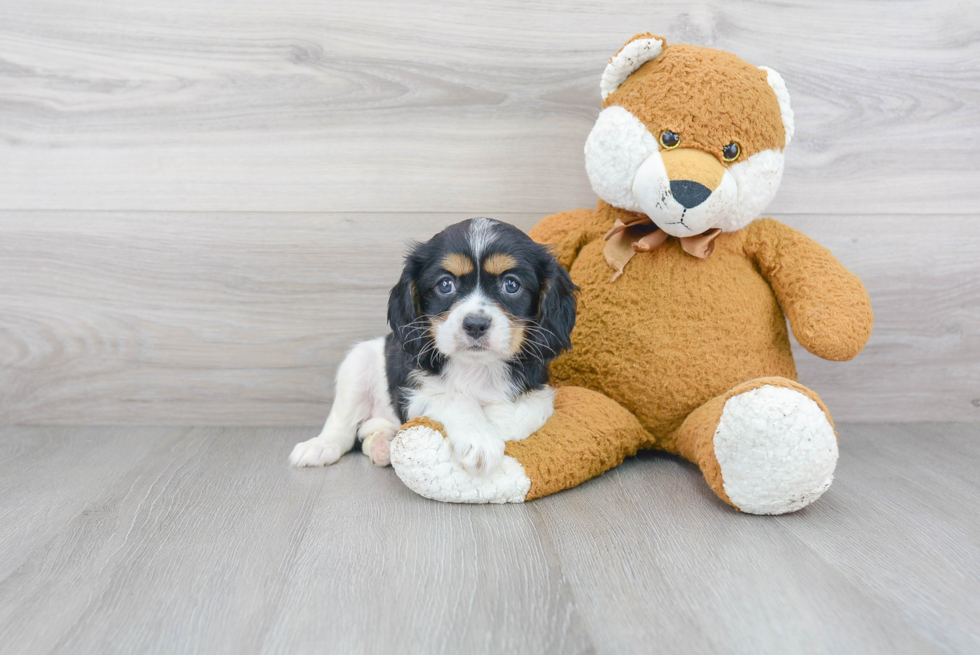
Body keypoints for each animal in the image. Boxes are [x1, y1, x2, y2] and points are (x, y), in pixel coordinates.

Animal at [292, 219, 580, 476]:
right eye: (445, 284)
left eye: (511, 285)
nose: (475, 324)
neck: (477, 367)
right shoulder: (413, 393)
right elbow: (455, 397)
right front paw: (480, 438)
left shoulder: (538, 386)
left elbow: (535, 409)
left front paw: (497, 419)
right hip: (358, 362)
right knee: (343, 426)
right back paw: (321, 446)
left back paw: (382, 444)